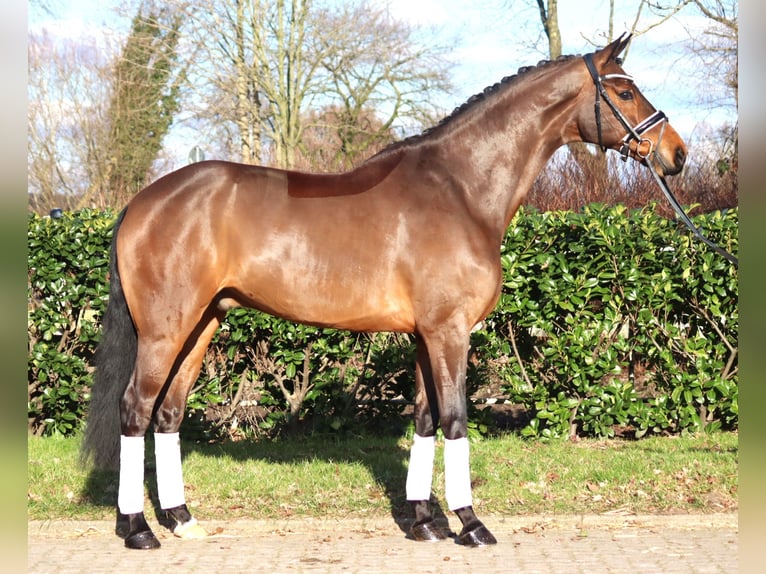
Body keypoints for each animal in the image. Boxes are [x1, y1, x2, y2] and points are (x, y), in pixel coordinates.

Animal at [81, 34, 686, 549]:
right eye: (625, 91)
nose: (677, 153)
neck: (460, 189)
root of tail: (142, 201)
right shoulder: (449, 331)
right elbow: (455, 419)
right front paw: (470, 524)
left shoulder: (424, 334)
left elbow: (424, 419)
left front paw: (424, 522)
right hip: (164, 330)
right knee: (135, 409)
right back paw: (138, 529)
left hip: (202, 324)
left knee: (168, 414)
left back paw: (181, 519)